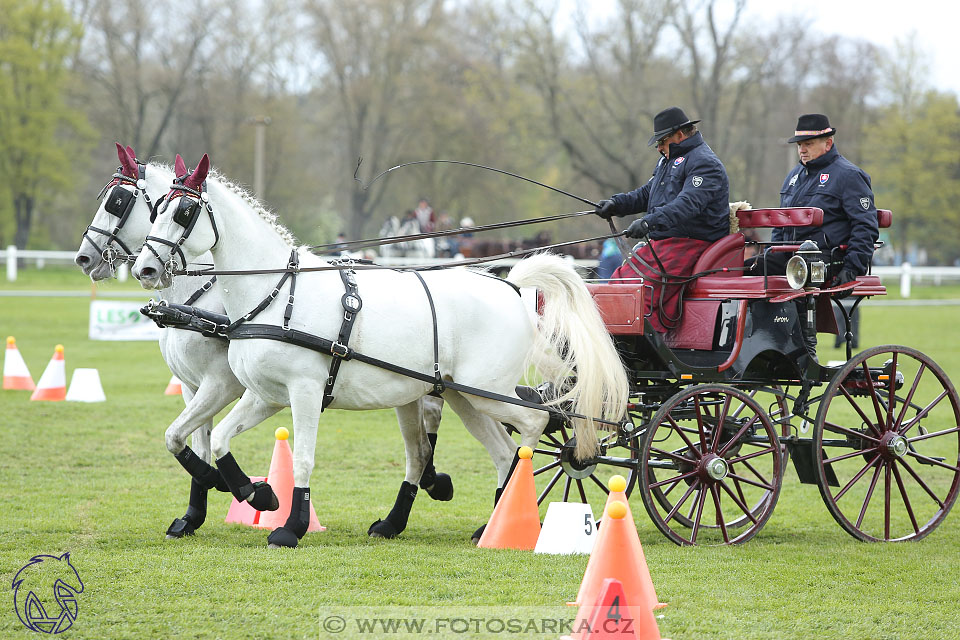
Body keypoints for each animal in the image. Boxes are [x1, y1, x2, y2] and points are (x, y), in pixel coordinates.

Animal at [77, 144, 460, 540]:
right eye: (156, 211)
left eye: (118, 202)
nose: (84, 257)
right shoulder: (192, 386)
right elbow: (187, 440)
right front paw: (195, 512)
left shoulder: (221, 384)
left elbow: (184, 438)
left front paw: (241, 488)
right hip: (409, 388)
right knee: (421, 443)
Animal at [133, 152, 632, 548]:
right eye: (155, 209)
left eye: (183, 212)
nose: (144, 268)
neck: (274, 293)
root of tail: (510, 285)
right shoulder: (263, 394)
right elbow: (215, 438)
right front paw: (258, 494)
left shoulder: (304, 391)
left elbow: (303, 457)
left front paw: (291, 526)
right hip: (463, 397)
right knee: (504, 451)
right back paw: (490, 523)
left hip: (488, 392)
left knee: (534, 424)